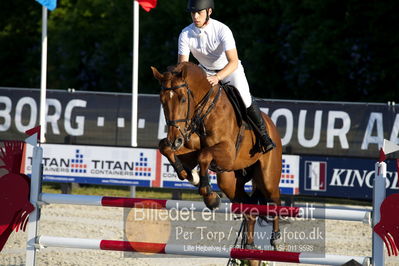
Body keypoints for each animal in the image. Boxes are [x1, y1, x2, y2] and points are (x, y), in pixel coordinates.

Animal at [151, 61, 284, 251]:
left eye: (183, 99)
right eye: (162, 101)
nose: (175, 140)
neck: (204, 111)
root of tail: (272, 126)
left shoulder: (228, 152)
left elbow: (204, 155)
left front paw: (209, 195)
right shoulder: (190, 146)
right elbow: (165, 148)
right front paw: (191, 176)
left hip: (267, 177)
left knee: (274, 201)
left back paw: (276, 240)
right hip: (229, 180)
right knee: (249, 210)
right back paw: (249, 246)